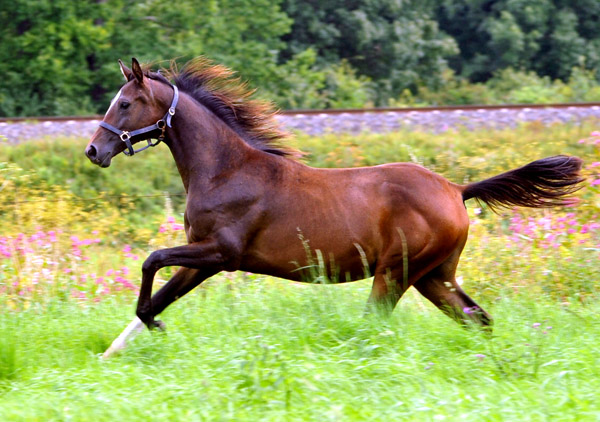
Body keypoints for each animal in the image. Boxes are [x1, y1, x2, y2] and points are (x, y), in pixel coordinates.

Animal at [86, 56, 584, 352]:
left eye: (125, 103)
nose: (94, 151)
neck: (226, 170)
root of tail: (456, 190)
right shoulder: (203, 260)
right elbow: (154, 300)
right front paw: (132, 343)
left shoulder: (220, 253)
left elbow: (151, 261)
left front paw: (157, 332)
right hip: (433, 276)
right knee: (477, 319)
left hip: (395, 273)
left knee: (378, 323)